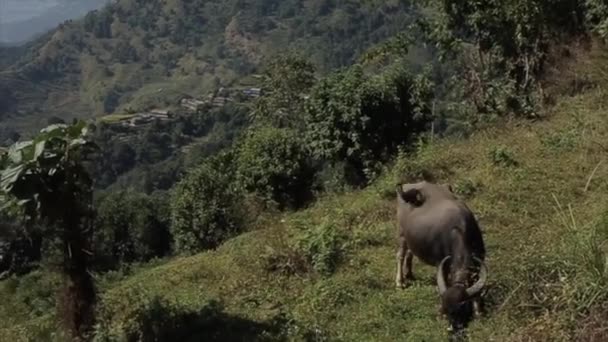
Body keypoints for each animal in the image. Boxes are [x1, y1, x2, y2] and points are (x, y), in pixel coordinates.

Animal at [394, 180, 490, 330]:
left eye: (461, 307)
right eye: (445, 307)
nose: (452, 327)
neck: (458, 230)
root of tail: (408, 186)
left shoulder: (479, 258)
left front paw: (478, 312)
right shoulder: (441, 263)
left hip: (411, 239)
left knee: (410, 253)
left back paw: (409, 274)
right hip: (401, 233)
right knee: (400, 255)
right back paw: (400, 282)